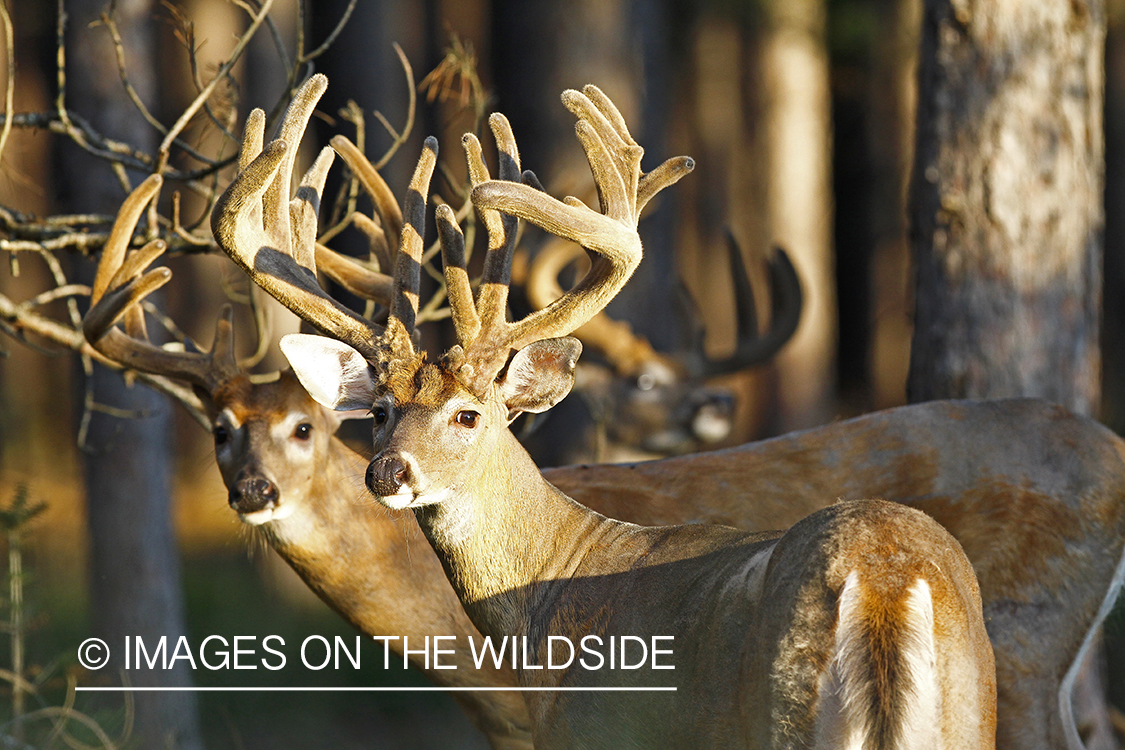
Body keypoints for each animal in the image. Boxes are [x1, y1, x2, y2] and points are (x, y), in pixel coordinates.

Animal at [214, 74, 999, 750]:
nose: (386, 472)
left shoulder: (590, 729)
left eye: (469, 415)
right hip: (973, 708)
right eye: (377, 410)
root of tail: (886, 582)